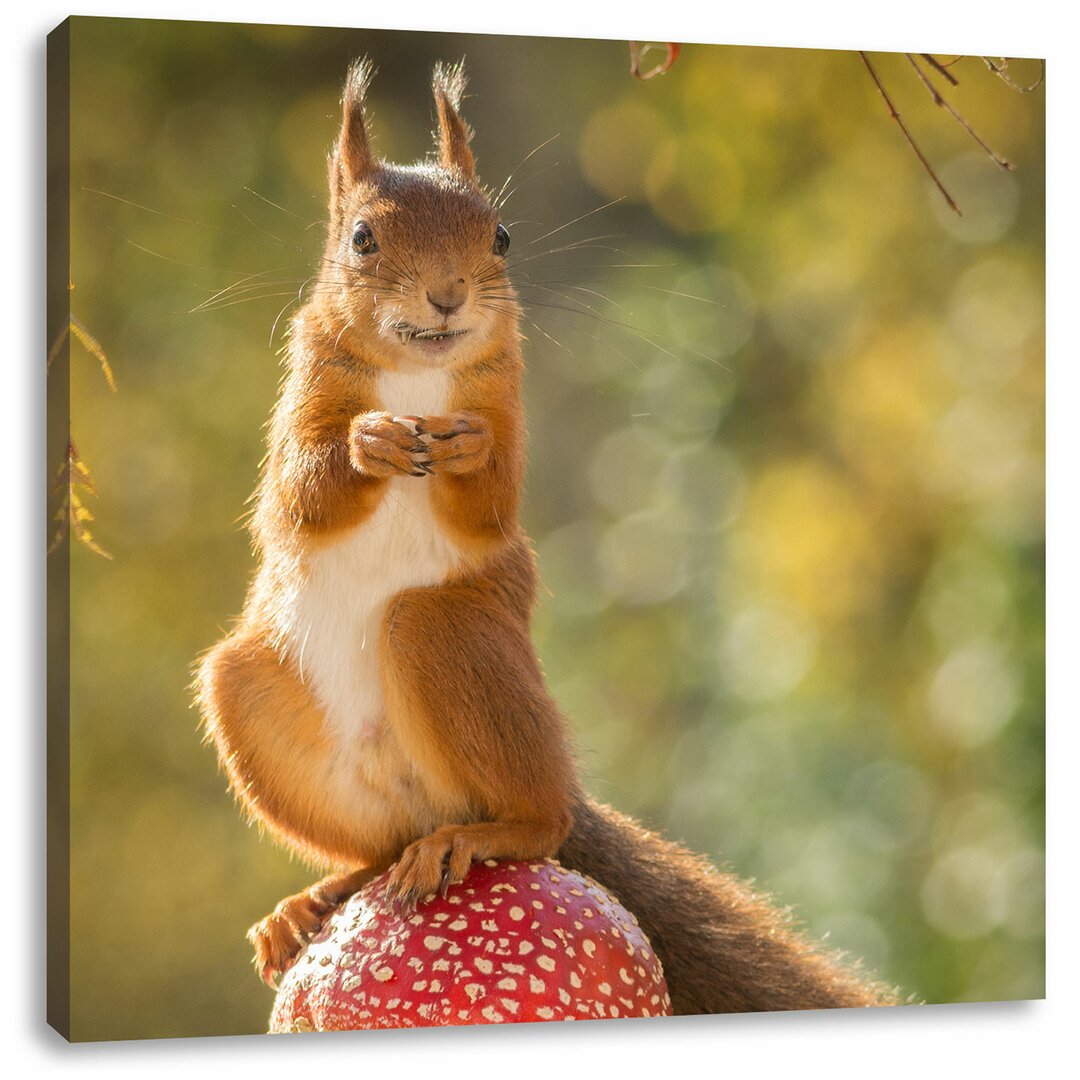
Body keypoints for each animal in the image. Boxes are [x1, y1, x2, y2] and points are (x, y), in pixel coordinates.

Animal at [198, 59, 898, 1015]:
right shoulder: (301, 397)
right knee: (377, 852)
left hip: (451, 636)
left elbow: (491, 503)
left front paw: (467, 452)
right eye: (362, 240)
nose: (448, 293)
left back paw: (479, 837)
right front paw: (368, 443)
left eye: (501, 236)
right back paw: (315, 900)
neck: (417, 377)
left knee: (537, 820)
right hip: (251, 697)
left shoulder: (508, 397)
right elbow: (298, 495)